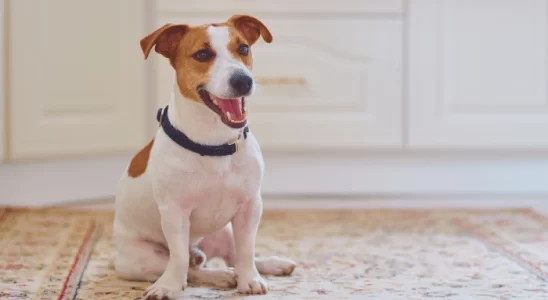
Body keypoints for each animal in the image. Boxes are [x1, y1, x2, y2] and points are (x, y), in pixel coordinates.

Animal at [112, 14, 298, 300]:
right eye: (202, 54)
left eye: (243, 48)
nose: (243, 80)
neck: (214, 144)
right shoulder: (175, 213)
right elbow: (178, 258)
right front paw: (168, 287)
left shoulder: (250, 207)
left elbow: (247, 251)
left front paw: (251, 280)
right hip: (141, 259)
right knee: (191, 268)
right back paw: (219, 275)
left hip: (225, 231)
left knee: (232, 256)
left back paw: (268, 265)